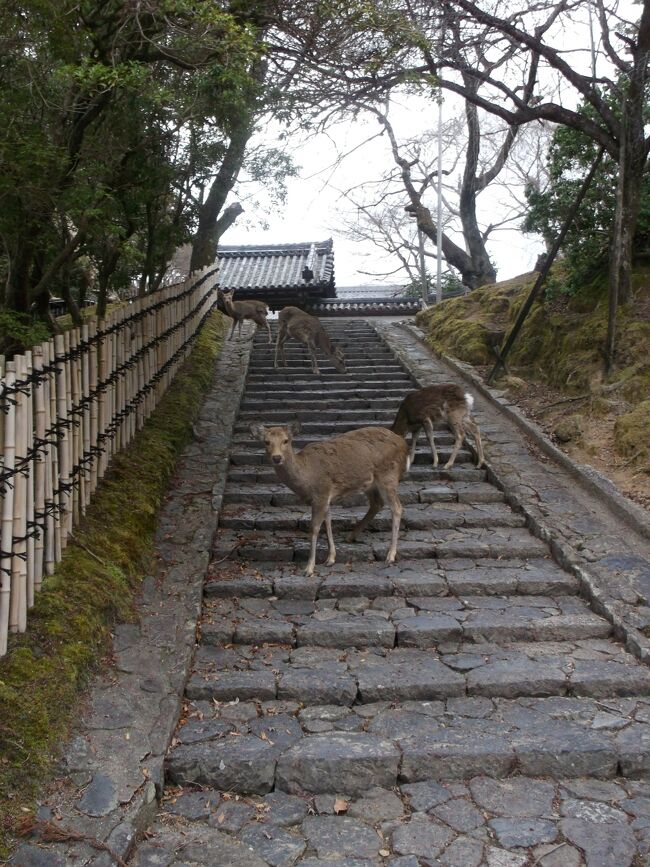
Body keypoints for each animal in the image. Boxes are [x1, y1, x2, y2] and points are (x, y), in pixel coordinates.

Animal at [251, 422, 408, 576]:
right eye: (266, 442)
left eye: (286, 440)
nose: (277, 458)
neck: (306, 477)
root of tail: (402, 443)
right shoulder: (326, 497)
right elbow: (327, 523)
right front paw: (330, 558)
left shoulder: (321, 493)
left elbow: (314, 528)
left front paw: (309, 568)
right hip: (370, 483)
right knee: (377, 503)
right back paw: (351, 536)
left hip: (388, 476)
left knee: (397, 507)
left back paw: (390, 555)